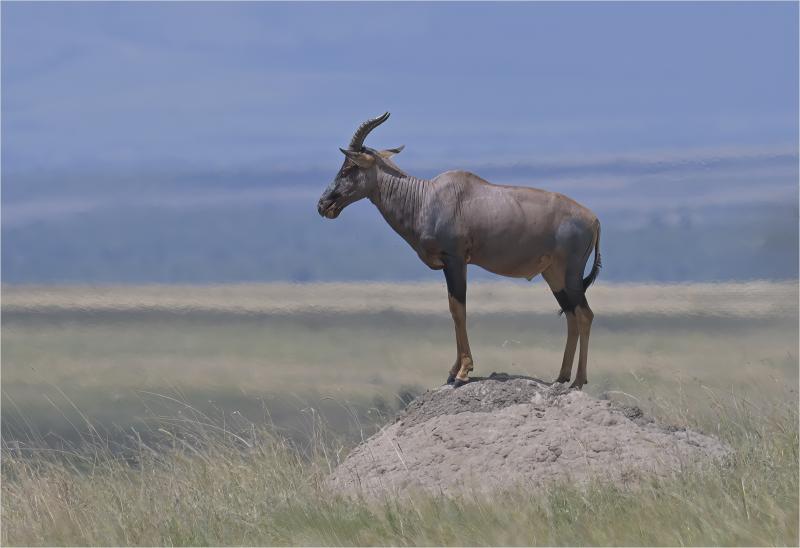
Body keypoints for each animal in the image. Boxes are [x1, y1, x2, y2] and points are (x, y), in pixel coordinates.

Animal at [317, 113, 601, 389]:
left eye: (349, 167)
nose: (323, 204)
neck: (426, 198)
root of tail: (594, 219)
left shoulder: (455, 261)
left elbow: (458, 309)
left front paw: (463, 372)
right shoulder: (451, 264)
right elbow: (454, 308)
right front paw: (454, 371)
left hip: (571, 273)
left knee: (585, 314)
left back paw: (578, 381)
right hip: (553, 274)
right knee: (571, 315)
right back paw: (561, 378)